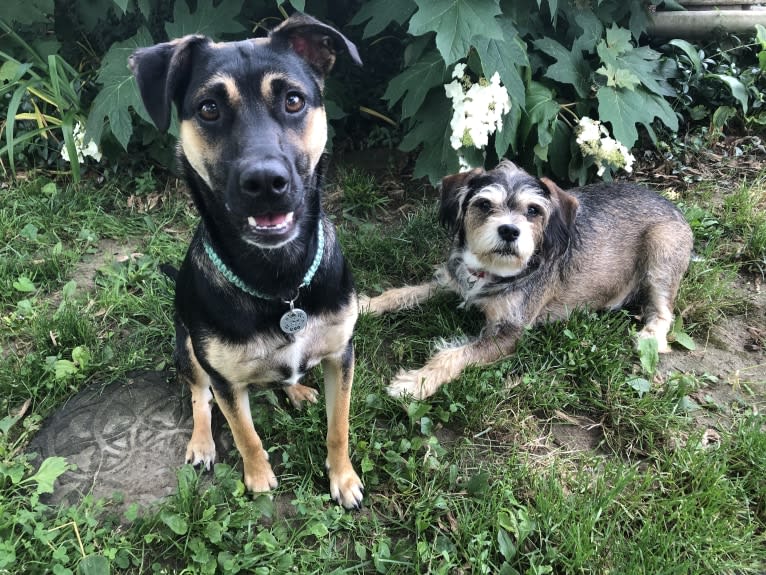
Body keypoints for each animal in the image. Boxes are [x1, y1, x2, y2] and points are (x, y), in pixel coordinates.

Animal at [130, 13, 366, 508]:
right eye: (208, 109)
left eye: (293, 100)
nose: (265, 182)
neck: (281, 280)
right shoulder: (224, 379)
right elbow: (244, 432)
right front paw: (258, 478)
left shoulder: (342, 354)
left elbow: (339, 426)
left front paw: (343, 478)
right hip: (186, 348)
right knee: (198, 397)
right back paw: (202, 442)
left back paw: (296, 389)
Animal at [364, 159, 696, 400]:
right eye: (484, 205)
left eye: (533, 210)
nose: (510, 231)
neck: (489, 271)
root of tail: (673, 203)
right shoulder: (450, 282)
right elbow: (402, 292)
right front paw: (365, 305)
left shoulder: (509, 334)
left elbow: (454, 354)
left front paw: (416, 381)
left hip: (661, 253)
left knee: (664, 312)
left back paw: (649, 337)